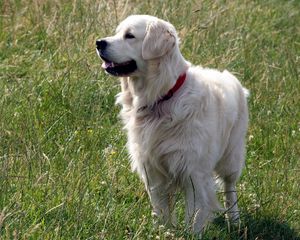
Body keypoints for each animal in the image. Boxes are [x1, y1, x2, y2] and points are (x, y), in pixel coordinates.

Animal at [96, 14, 248, 232]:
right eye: (117, 33)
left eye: (129, 36)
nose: (99, 42)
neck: (162, 97)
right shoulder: (152, 169)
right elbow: (161, 208)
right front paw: (163, 231)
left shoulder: (194, 172)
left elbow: (194, 214)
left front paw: (192, 233)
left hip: (232, 157)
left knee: (230, 187)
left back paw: (234, 219)